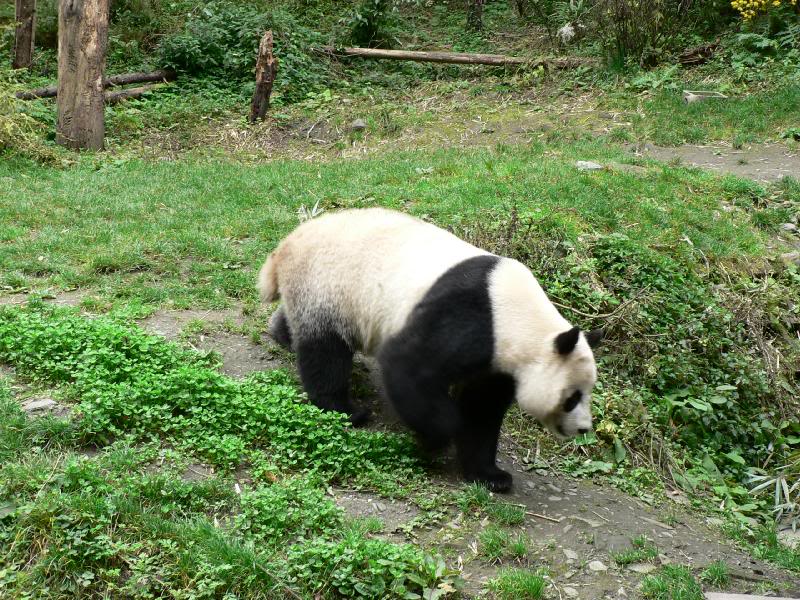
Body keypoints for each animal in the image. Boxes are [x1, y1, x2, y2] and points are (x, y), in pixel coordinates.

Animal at [257, 207, 602, 492]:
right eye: (572, 398)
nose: (584, 428)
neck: (518, 320)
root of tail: (286, 244)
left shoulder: (498, 361)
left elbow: (482, 410)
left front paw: (490, 475)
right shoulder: (468, 317)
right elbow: (407, 364)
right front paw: (437, 437)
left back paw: (282, 333)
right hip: (326, 283)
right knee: (325, 352)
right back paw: (345, 409)